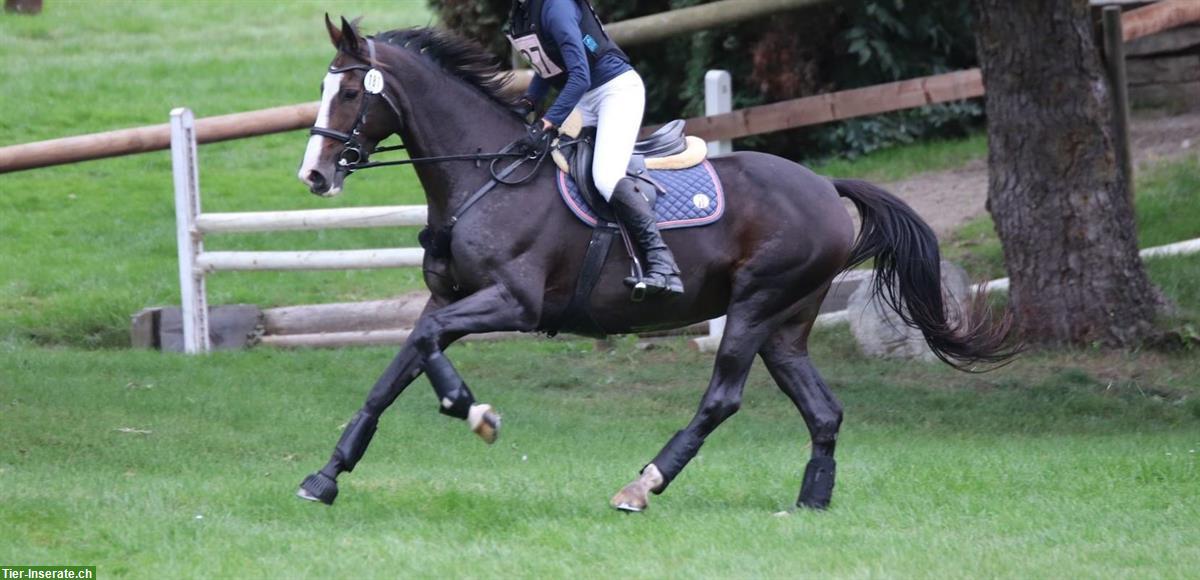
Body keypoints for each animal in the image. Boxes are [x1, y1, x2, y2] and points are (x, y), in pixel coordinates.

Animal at [292, 15, 1012, 511]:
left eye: (351, 92)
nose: (314, 176)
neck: (482, 174)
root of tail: (826, 188)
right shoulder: (446, 298)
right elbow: (401, 364)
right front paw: (327, 475)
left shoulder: (512, 302)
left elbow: (427, 346)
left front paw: (473, 412)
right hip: (785, 324)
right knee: (822, 409)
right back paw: (811, 499)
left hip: (754, 307)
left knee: (722, 397)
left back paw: (642, 486)